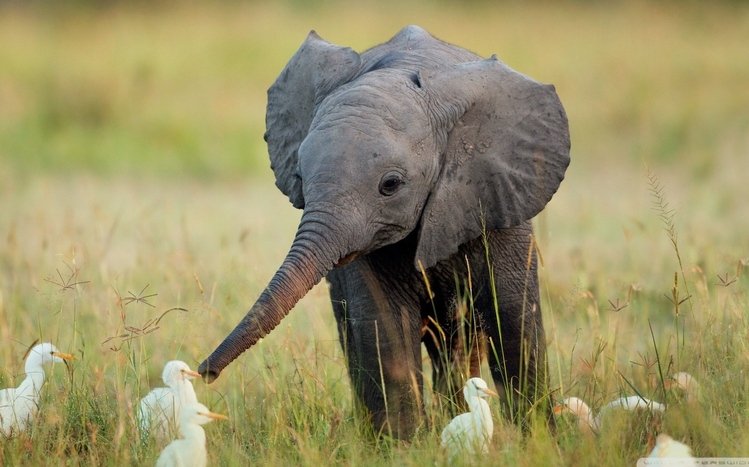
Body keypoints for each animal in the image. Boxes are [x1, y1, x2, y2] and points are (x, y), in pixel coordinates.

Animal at [198, 25, 570, 439]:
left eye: (390, 185)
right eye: (299, 177)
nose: (205, 373)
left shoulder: (497, 196)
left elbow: (514, 318)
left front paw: (540, 440)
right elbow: (384, 325)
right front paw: (404, 445)